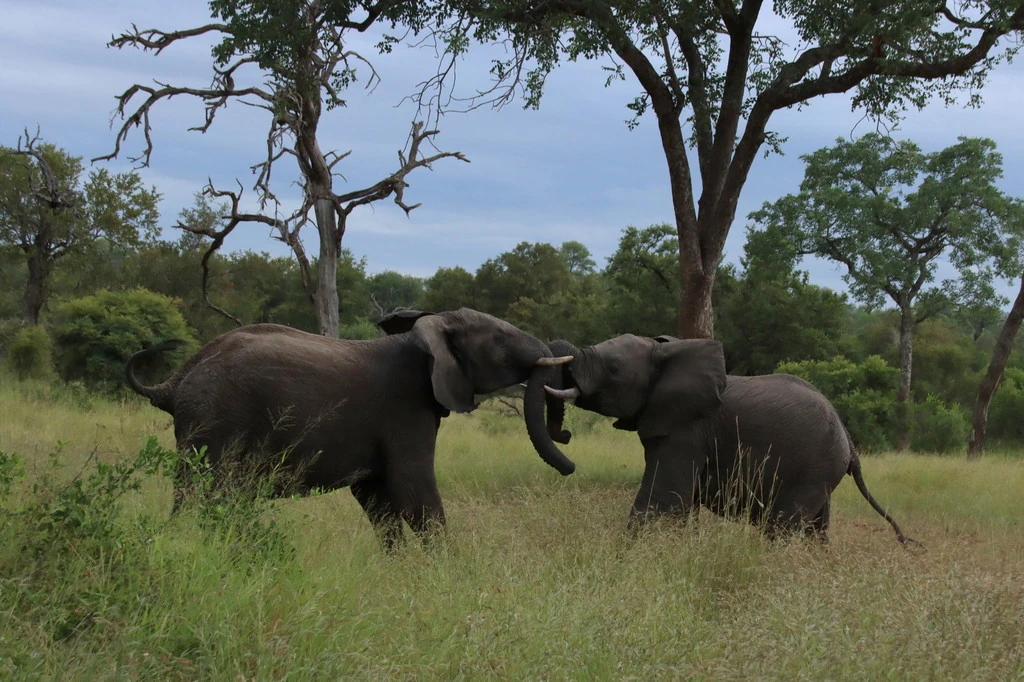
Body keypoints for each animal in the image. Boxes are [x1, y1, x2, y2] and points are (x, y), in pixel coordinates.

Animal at [544, 331, 913, 544]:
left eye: (613, 367)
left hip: (811, 471)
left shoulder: (687, 429)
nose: (565, 435)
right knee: (815, 531)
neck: (668, 353)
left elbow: (663, 500)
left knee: (782, 528)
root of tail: (849, 440)